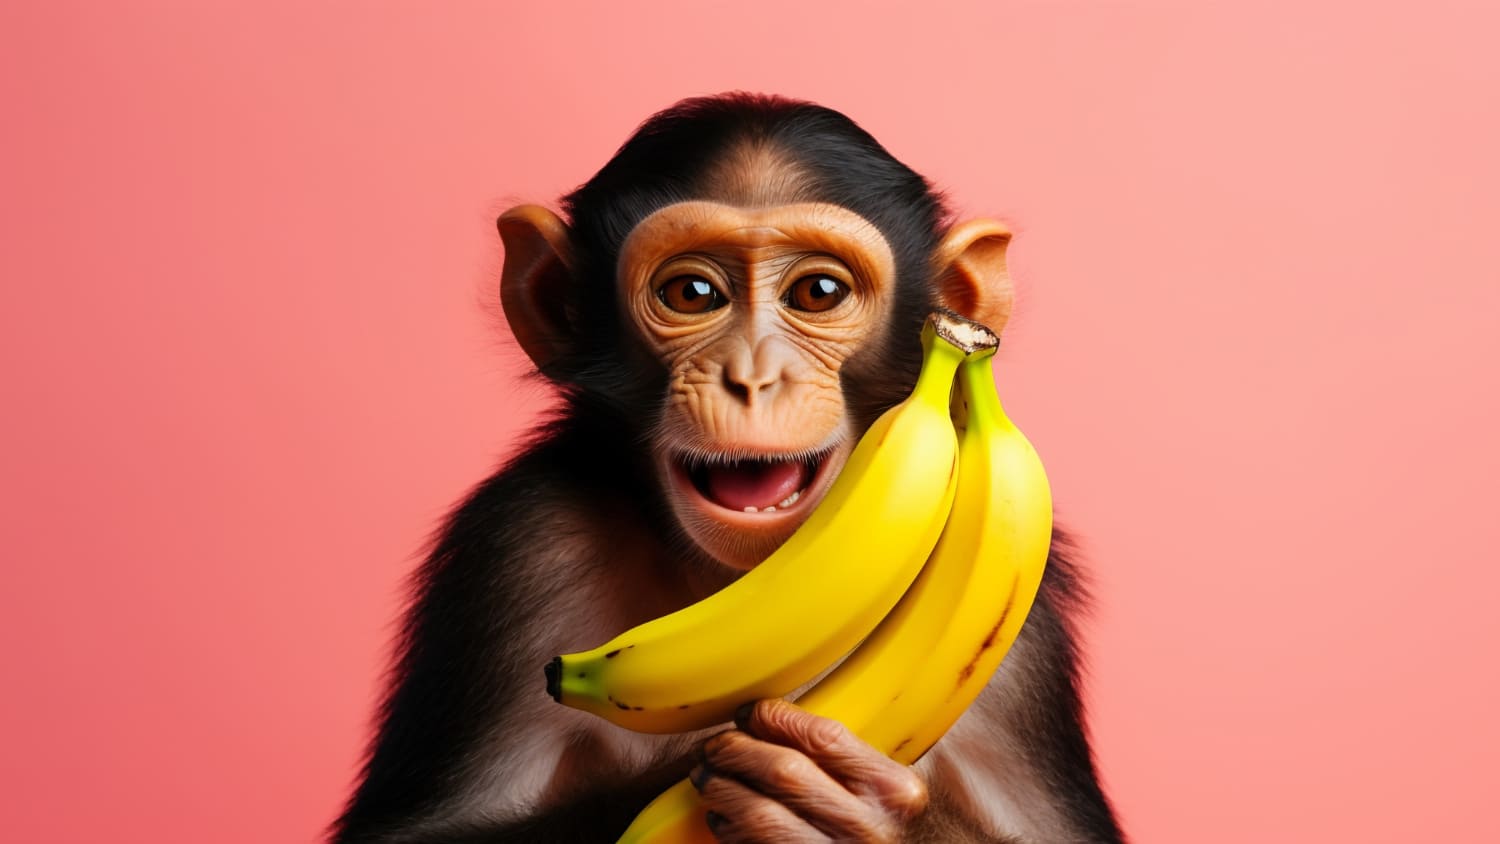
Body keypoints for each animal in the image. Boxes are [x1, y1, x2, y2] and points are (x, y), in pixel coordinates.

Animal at [330, 93, 1125, 843]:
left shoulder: (1023, 640)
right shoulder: (516, 553)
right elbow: (419, 832)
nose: (752, 374)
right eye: (692, 294)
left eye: (819, 293)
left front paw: (848, 806)